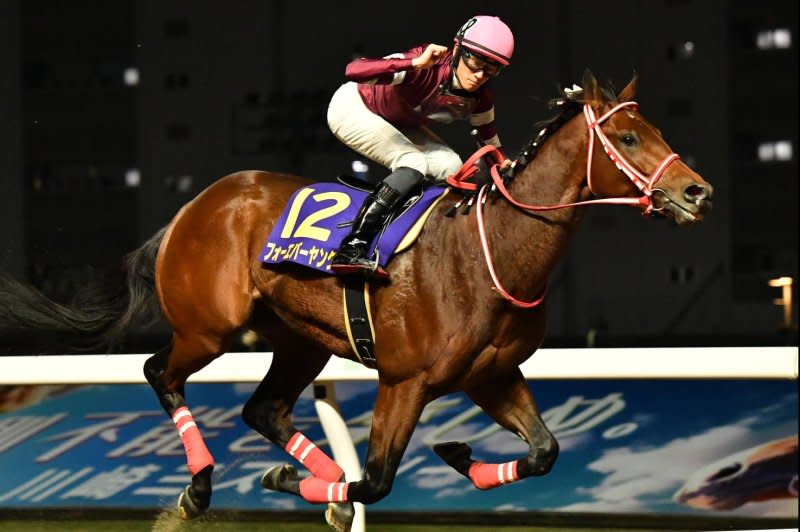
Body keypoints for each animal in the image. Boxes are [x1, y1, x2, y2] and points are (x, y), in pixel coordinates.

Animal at [0, 71, 712, 532]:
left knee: (262, 409)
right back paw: (200, 489)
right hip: (210, 329)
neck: (491, 249)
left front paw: (455, 456)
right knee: (159, 373)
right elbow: (377, 478)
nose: (697, 191)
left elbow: (545, 452)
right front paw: (298, 484)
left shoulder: (491, 373)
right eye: (628, 140)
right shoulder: (404, 380)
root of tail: (190, 208)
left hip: (299, 342)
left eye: (654, 127)